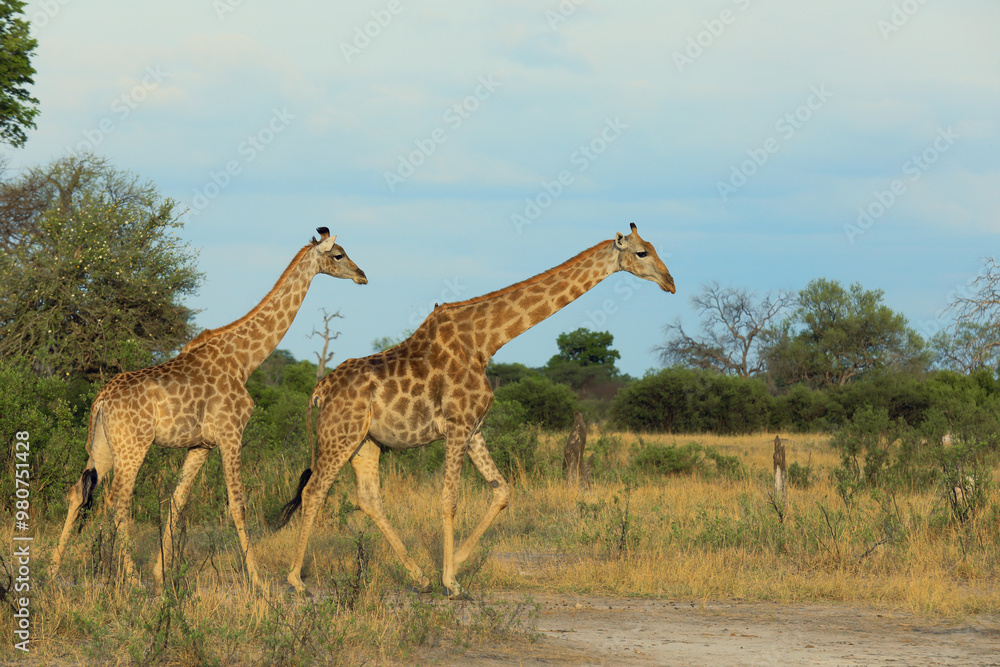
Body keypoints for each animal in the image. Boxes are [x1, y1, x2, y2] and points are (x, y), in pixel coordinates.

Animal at [49, 228, 367, 590]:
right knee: (117, 500)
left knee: (78, 491)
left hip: (102, 445)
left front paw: (161, 573)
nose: (362, 275)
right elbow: (237, 504)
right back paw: (130, 578)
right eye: (339, 255)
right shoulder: (231, 433)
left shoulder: (201, 445)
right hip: (133, 446)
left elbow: (177, 500)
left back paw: (53, 570)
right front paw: (257, 580)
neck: (244, 360)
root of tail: (101, 398)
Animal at [276, 223, 674, 597]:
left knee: (369, 499)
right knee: (314, 491)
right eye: (641, 252)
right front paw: (451, 581)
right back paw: (296, 580)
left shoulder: (475, 427)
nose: (669, 282)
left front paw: (455, 564)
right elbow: (449, 500)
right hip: (339, 435)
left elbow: (502, 491)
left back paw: (419, 577)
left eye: (653, 248)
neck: (486, 341)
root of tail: (319, 390)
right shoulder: (457, 424)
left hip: (365, 442)